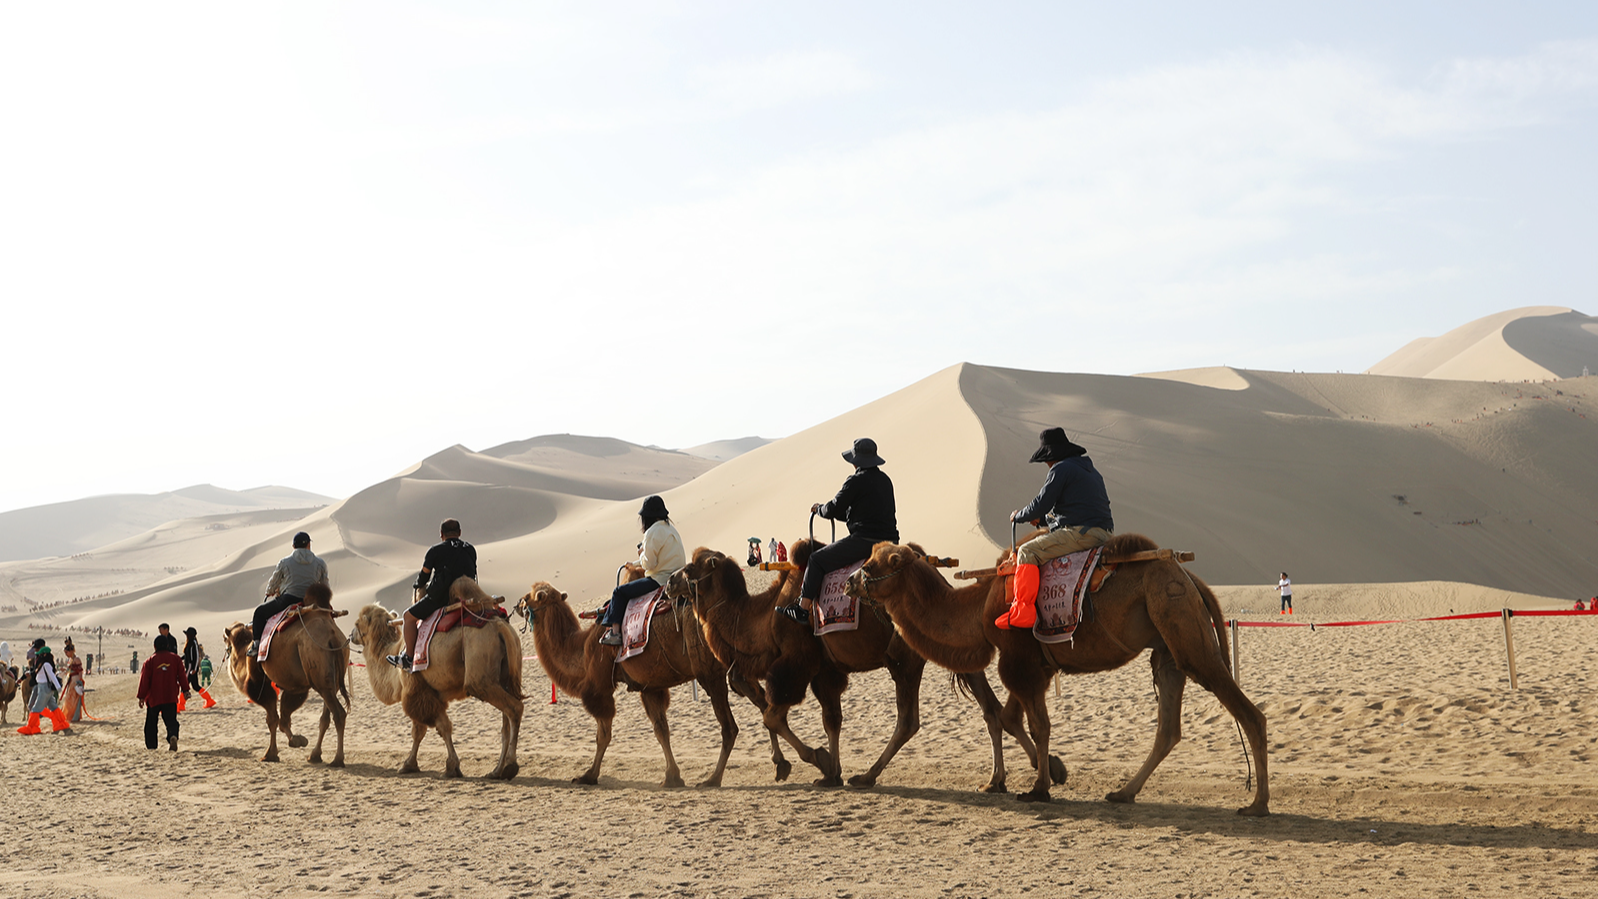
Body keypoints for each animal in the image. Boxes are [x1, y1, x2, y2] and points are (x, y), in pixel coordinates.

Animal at [222, 584, 349, 766]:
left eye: (225, 639)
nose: (226, 652)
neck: (243, 652)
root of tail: (332, 636)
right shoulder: (296, 685)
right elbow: (284, 716)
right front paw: (297, 740)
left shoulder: (260, 682)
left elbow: (272, 719)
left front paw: (270, 754)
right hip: (332, 678)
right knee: (325, 717)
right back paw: (315, 755)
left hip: (320, 676)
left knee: (339, 713)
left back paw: (337, 759)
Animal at [348, 578, 524, 782]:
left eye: (357, 622)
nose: (350, 635)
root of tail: (501, 627)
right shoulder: (432, 693)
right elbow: (436, 728)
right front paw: (442, 765)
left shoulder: (415, 688)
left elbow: (426, 729)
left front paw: (419, 765)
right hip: (505, 677)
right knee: (505, 724)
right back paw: (496, 771)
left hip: (480, 679)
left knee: (514, 708)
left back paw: (510, 766)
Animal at [514, 568, 783, 788]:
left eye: (529, 596)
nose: (516, 605)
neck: (582, 647)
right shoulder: (650, 686)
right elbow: (661, 730)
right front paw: (672, 777)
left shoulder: (599, 687)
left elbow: (603, 735)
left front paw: (588, 775)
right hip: (737, 665)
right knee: (764, 705)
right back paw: (781, 765)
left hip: (710, 672)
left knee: (730, 726)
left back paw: (713, 779)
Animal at [667, 542, 1067, 788]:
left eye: (690, 567)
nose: (669, 582)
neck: (765, 615)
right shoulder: (826, 670)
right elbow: (832, 720)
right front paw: (831, 772)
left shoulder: (797, 661)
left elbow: (773, 715)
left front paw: (820, 760)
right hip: (956, 650)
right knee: (991, 709)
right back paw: (1017, 774)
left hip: (905, 658)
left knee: (909, 720)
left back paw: (869, 775)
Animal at [850, 533, 1272, 817]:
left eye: (871, 565)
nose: (851, 582)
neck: (979, 607)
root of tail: (1189, 577)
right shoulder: (1030, 662)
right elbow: (1009, 718)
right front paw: (1034, 773)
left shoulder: (1017, 662)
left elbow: (1038, 725)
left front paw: (1039, 786)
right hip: (1167, 645)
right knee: (1168, 727)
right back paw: (1123, 793)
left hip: (1181, 625)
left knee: (1248, 713)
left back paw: (1258, 803)